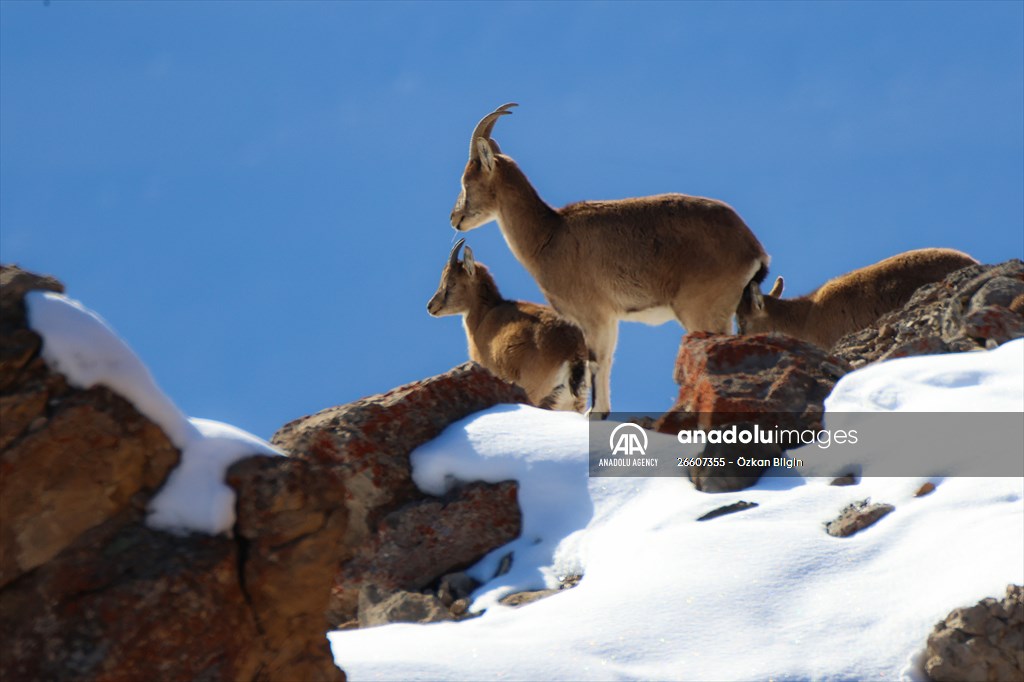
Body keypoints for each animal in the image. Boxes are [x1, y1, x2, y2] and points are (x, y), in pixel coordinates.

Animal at [427, 238, 592, 412]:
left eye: (451, 283)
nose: (430, 306)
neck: (484, 316)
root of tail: (574, 348)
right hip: (575, 401)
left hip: (538, 392)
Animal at [449, 103, 770, 413]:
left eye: (467, 180)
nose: (455, 218)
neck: (550, 235)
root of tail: (752, 247)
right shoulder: (610, 321)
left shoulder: (595, 317)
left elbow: (597, 368)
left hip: (702, 312)